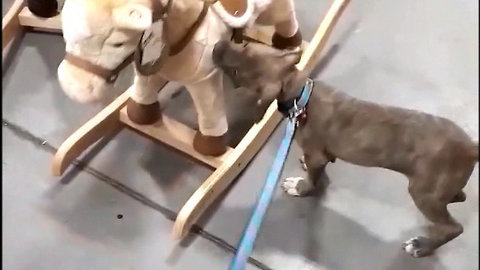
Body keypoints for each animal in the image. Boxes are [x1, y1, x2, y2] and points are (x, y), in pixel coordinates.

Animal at [214, 40, 480, 258]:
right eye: (245, 45)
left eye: (236, 72)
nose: (216, 46)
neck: (300, 94)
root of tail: (471, 146)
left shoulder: (317, 155)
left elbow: (313, 178)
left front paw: (301, 187)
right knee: (458, 197)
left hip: (422, 192)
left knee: (453, 227)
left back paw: (422, 246)